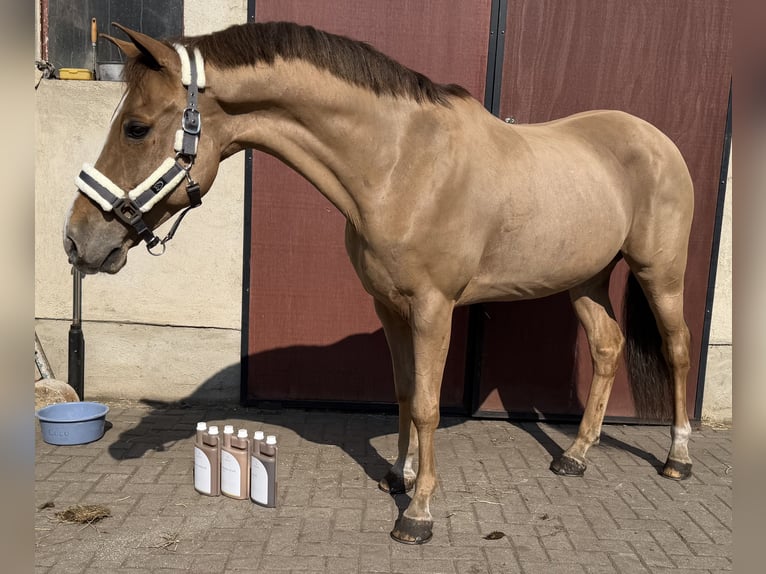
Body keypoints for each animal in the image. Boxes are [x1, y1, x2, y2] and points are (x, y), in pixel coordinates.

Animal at [63, 22, 695, 545]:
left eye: (136, 128)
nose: (76, 240)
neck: (401, 165)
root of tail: (656, 139)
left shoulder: (434, 308)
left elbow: (430, 405)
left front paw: (418, 513)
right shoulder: (389, 306)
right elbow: (404, 391)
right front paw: (399, 474)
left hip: (660, 275)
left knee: (678, 351)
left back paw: (678, 457)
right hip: (585, 279)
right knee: (608, 347)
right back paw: (575, 455)